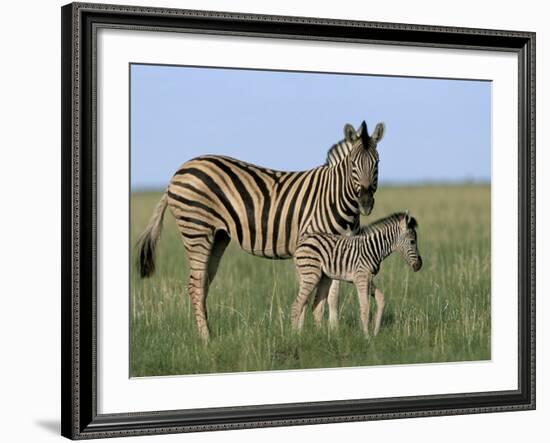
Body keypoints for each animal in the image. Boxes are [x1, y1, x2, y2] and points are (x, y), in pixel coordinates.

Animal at [137, 120, 388, 340]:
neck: (334, 197)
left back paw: (208, 333)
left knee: (204, 283)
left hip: (217, 236)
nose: (366, 203)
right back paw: (205, 339)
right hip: (196, 229)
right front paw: (301, 334)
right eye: (353, 163)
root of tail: (180, 170)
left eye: (377, 163)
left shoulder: (340, 248)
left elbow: (333, 294)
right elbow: (311, 295)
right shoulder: (312, 245)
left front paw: (332, 333)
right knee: (195, 285)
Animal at [294, 212, 422, 336]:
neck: (374, 249)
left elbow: (381, 299)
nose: (419, 265)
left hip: (322, 277)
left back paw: (318, 334)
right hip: (311, 274)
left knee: (313, 305)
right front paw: (366, 336)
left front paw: (375, 331)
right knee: (298, 304)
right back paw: (294, 334)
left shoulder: (368, 279)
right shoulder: (361, 278)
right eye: (412, 242)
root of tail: (303, 241)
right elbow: (365, 307)